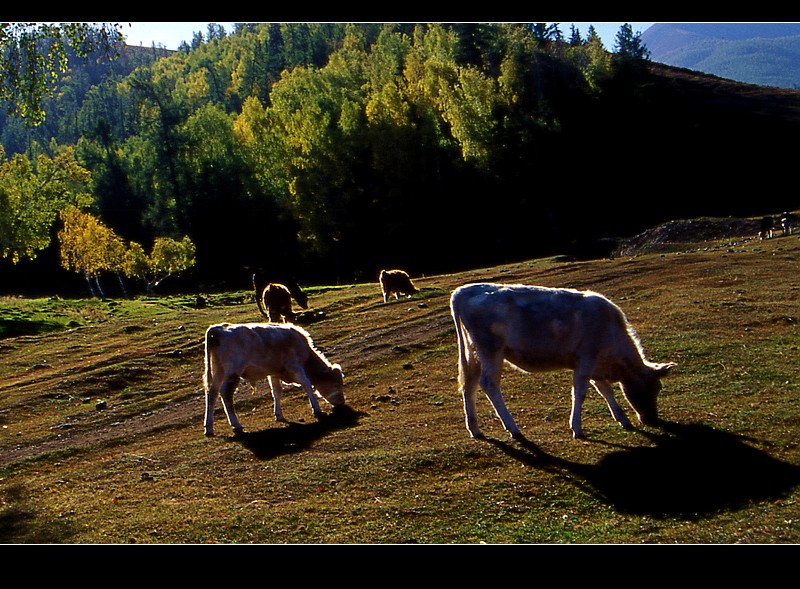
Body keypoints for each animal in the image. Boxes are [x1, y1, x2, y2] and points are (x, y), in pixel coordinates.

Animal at [450, 282, 676, 438]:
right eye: (655, 388)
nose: (652, 419)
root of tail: (463, 290)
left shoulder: (593, 365)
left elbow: (604, 390)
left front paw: (622, 418)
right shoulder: (587, 358)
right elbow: (580, 392)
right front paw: (577, 428)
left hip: (473, 352)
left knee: (469, 384)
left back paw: (475, 429)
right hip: (491, 350)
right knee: (489, 384)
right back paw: (512, 428)